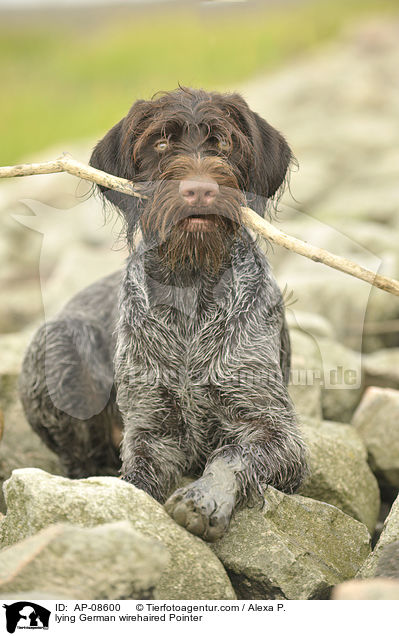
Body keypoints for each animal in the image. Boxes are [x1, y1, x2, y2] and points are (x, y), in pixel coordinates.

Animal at [20, 85, 310, 540]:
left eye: (223, 142)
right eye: (160, 143)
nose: (199, 189)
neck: (190, 289)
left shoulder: (275, 431)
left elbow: (231, 454)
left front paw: (203, 499)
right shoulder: (150, 429)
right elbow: (136, 481)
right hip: (59, 345)